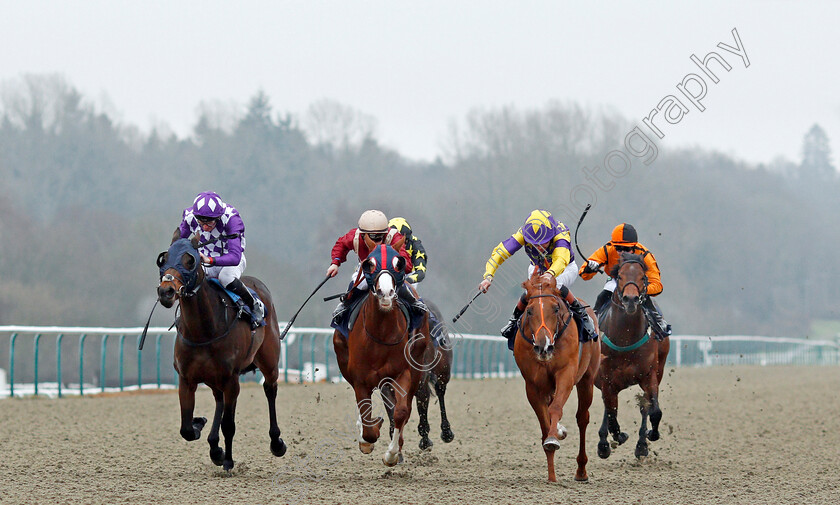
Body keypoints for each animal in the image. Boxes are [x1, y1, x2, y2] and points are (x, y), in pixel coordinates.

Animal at [156, 234, 288, 470]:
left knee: (269, 389)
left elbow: (229, 424)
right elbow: (186, 428)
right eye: (164, 259)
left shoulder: (231, 379)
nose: (166, 291)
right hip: (213, 377)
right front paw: (203, 429)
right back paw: (213, 444)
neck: (203, 332)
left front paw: (227, 460)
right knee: (218, 399)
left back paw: (276, 442)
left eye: (190, 260)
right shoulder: (186, 379)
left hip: (270, 362)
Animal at [332, 241, 430, 464]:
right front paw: (367, 439)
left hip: (416, 368)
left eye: (398, 263)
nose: (385, 292)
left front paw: (392, 454)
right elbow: (367, 421)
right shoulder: (360, 379)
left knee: (404, 408)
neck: (381, 333)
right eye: (370, 264)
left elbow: (400, 412)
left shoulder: (402, 374)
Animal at [516, 270, 600, 482]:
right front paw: (552, 475)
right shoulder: (533, 385)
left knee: (582, 418)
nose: (543, 346)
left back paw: (581, 471)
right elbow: (544, 423)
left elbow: (555, 409)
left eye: (555, 309)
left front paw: (554, 438)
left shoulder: (566, 374)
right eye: (529, 311)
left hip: (587, 380)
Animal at [592, 250, 672, 458]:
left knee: (645, 407)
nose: (630, 299)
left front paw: (651, 435)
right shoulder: (607, 379)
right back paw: (604, 443)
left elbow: (654, 411)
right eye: (620, 276)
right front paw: (614, 437)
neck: (625, 338)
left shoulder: (649, 375)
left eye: (643, 277)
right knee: (609, 409)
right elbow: (612, 414)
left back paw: (642, 444)